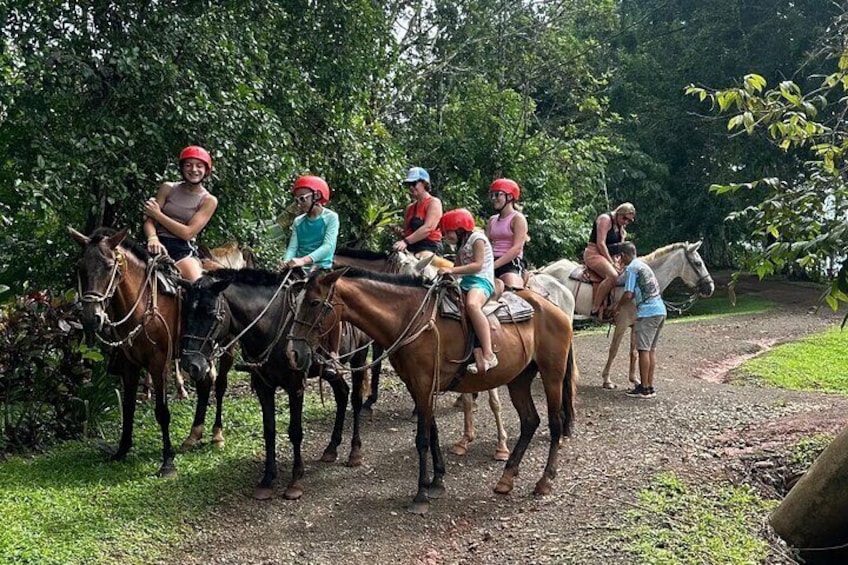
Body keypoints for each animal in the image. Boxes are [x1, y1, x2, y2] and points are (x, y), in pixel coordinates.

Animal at [67, 227, 235, 474]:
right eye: (80, 266)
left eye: (109, 266)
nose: (91, 318)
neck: (141, 304)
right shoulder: (129, 364)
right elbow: (128, 406)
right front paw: (122, 450)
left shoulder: (158, 364)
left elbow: (162, 411)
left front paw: (167, 461)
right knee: (205, 382)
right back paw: (193, 436)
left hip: (228, 346)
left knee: (220, 384)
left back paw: (217, 435)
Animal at [181, 268, 370, 498]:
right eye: (186, 313)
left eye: (210, 313)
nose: (191, 365)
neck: (270, 327)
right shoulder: (264, 386)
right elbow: (269, 429)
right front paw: (267, 479)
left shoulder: (295, 386)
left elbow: (295, 432)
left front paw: (295, 481)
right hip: (329, 373)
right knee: (342, 394)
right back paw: (331, 448)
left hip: (360, 358)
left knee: (356, 399)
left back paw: (355, 452)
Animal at [290, 266, 576, 512]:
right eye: (296, 302)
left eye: (314, 303)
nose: (294, 352)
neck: (410, 317)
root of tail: (556, 309)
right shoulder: (418, 386)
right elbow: (433, 432)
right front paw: (437, 482)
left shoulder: (424, 383)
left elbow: (423, 438)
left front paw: (421, 494)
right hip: (519, 378)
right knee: (530, 421)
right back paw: (506, 478)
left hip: (551, 374)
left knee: (555, 422)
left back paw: (544, 481)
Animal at [540, 240, 712, 390]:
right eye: (698, 263)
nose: (710, 287)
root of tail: (545, 270)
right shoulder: (622, 324)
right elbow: (614, 350)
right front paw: (607, 380)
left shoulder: (636, 325)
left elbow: (634, 353)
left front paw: (635, 380)